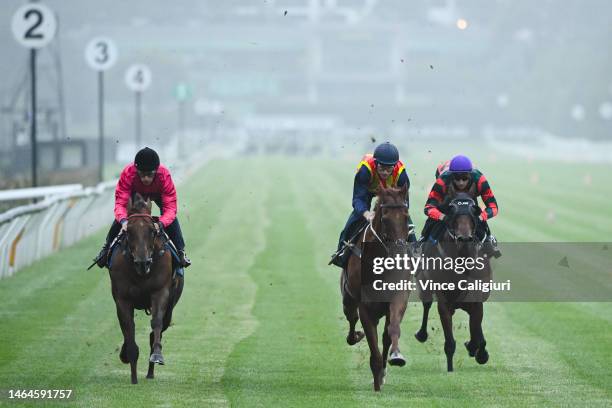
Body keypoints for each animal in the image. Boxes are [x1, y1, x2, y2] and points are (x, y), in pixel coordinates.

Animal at [108, 193, 183, 384]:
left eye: (152, 231)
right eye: (129, 231)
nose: (143, 263)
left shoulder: (160, 292)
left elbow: (156, 322)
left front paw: (157, 355)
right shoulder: (122, 299)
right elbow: (128, 327)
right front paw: (132, 373)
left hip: (171, 304)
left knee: (158, 329)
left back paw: (150, 371)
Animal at [340, 183, 412, 390]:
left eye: (406, 216)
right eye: (385, 218)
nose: (399, 252)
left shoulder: (398, 298)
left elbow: (392, 329)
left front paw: (396, 356)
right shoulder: (365, 306)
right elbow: (372, 344)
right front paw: (377, 381)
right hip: (348, 299)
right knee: (351, 318)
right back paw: (355, 336)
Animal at [414, 193, 490, 372]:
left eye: (473, 216)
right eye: (453, 217)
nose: (464, 239)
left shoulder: (476, 300)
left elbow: (477, 330)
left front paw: (478, 350)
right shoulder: (444, 303)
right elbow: (449, 342)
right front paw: (450, 369)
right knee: (427, 304)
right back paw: (422, 334)